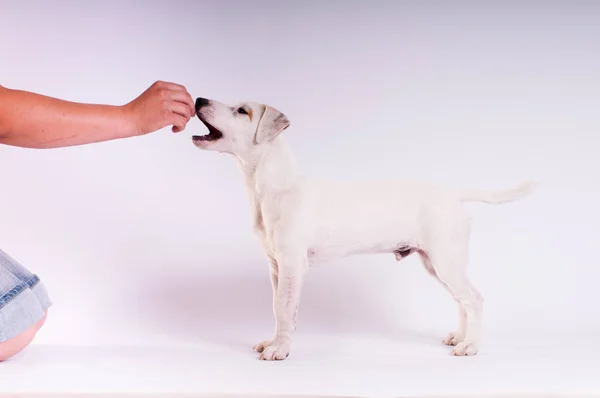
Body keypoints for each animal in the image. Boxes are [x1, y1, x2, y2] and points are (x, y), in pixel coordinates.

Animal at [191, 96, 536, 360]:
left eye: (242, 111)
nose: (200, 99)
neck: (272, 185)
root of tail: (452, 193)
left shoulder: (291, 265)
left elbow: (284, 308)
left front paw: (280, 350)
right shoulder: (276, 266)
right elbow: (278, 309)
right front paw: (273, 342)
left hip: (445, 259)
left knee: (474, 299)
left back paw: (471, 346)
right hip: (436, 264)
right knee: (462, 301)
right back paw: (460, 338)